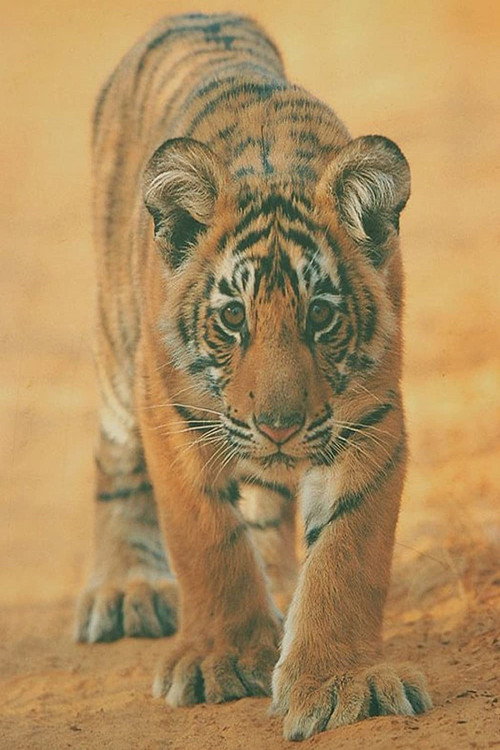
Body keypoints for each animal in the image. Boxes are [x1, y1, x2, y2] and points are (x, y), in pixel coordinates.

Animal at [75, 12, 432, 740]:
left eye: (320, 315)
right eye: (234, 317)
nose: (279, 426)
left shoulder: (371, 415)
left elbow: (348, 552)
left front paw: (338, 681)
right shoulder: (172, 410)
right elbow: (207, 537)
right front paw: (224, 659)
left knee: (267, 508)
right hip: (117, 346)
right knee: (114, 459)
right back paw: (125, 590)